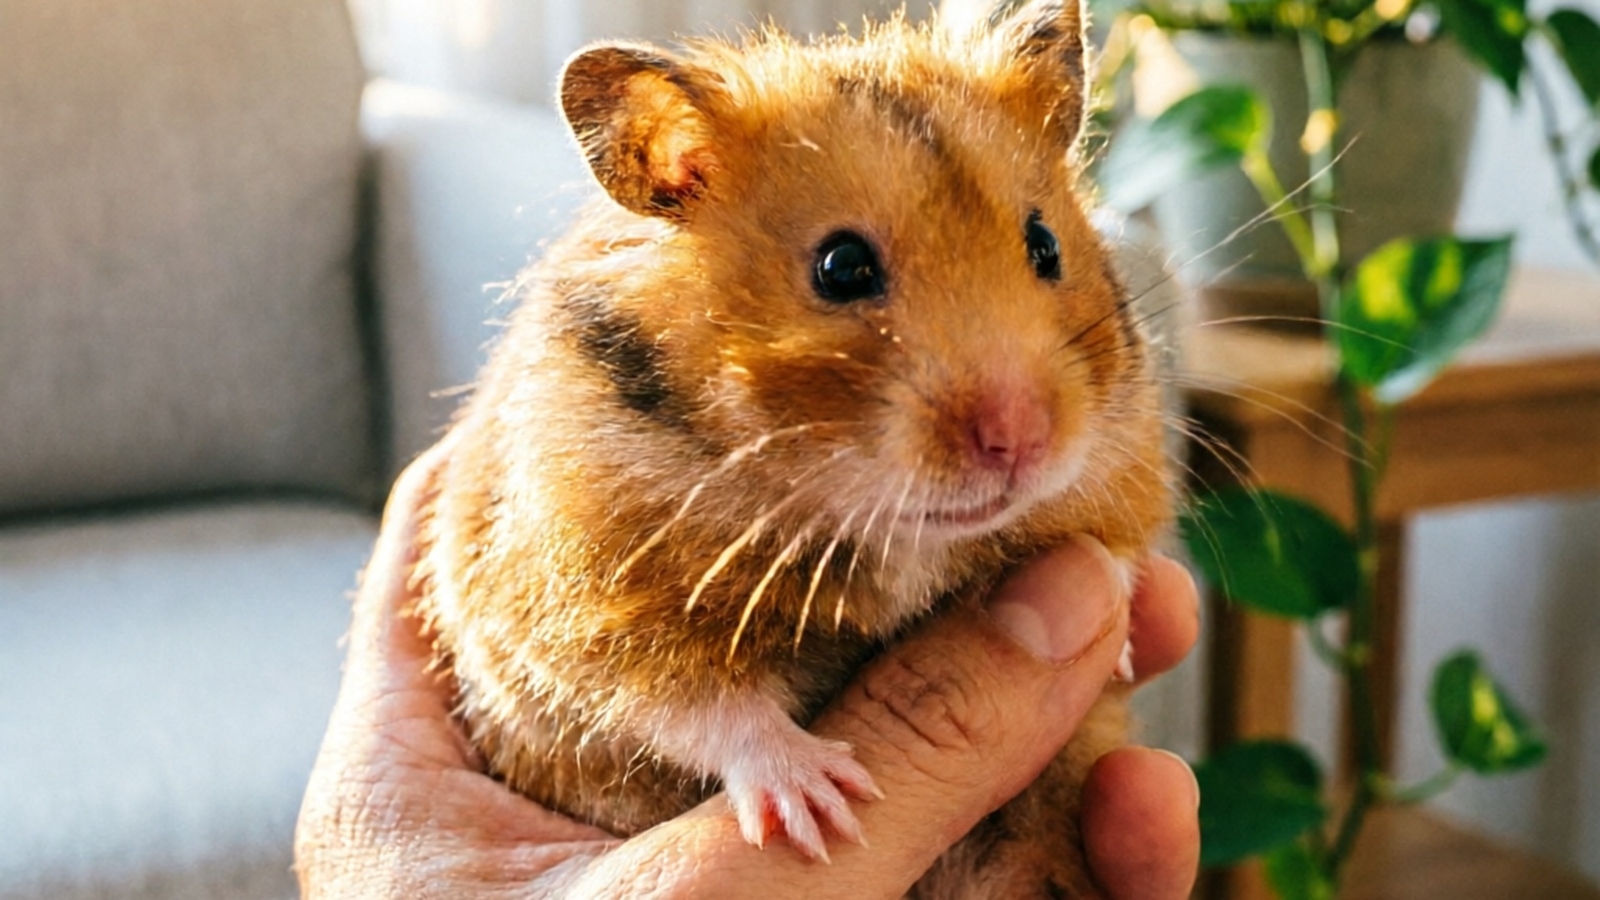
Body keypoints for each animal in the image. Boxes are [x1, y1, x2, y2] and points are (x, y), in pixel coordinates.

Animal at [417, 1, 1171, 895]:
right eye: (841, 266)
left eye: (1045, 245)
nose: (1022, 441)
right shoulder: (573, 602)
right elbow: (683, 699)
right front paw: (825, 805)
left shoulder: (1125, 458)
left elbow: (1115, 551)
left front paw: (1114, 636)